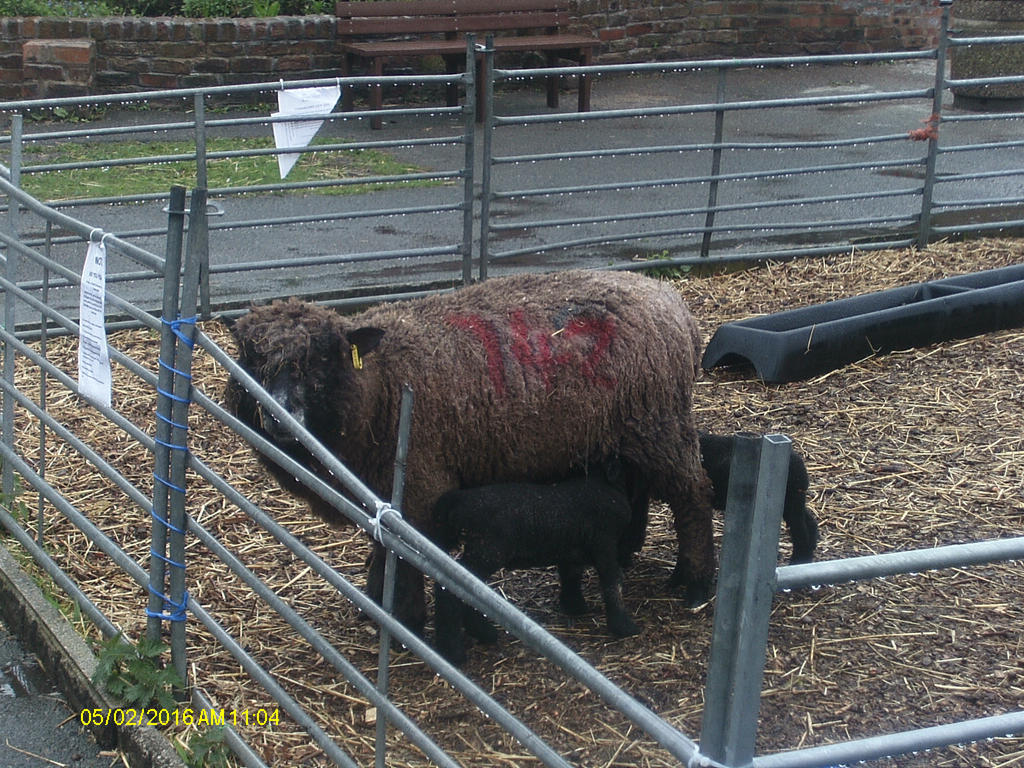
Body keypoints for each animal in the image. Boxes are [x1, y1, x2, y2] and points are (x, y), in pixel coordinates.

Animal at [224, 269, 714, 635]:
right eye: (251, 356)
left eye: (323, 358)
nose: (278, 416)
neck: (379, 386)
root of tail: (674, 304)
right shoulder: (379, 489)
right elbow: (381, 544)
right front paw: (375, 602)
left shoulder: (418, 483)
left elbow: (404, 554)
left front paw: (404, 622)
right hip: (629, 431)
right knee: (641, 487)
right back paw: (634, 554)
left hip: (659, 422)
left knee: (692, 495)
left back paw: (695, 584)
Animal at [432, 462, 640, 664]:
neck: (603, 483)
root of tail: (458, 500)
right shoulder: (604, 543)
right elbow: (612, 582)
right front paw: (624, 627)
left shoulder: (571, 546)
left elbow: (571, 572)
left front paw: (574, 606)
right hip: (487, 550)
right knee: (451, 590)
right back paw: (453, 651)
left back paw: (482, 633)